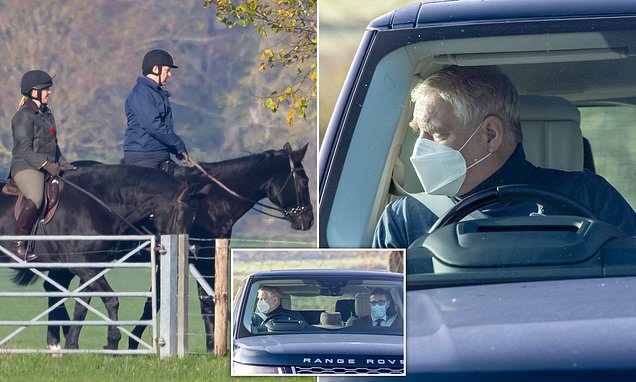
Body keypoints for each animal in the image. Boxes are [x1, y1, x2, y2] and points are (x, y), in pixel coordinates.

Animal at [2, 166, 205, 350]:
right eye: (179, 217)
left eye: (194, 218)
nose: (187, 255)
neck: (95, 204)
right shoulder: (83, 266)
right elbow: (111, 299)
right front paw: (112, 343)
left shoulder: (91, 267)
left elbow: (82, 305)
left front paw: (72, 345)